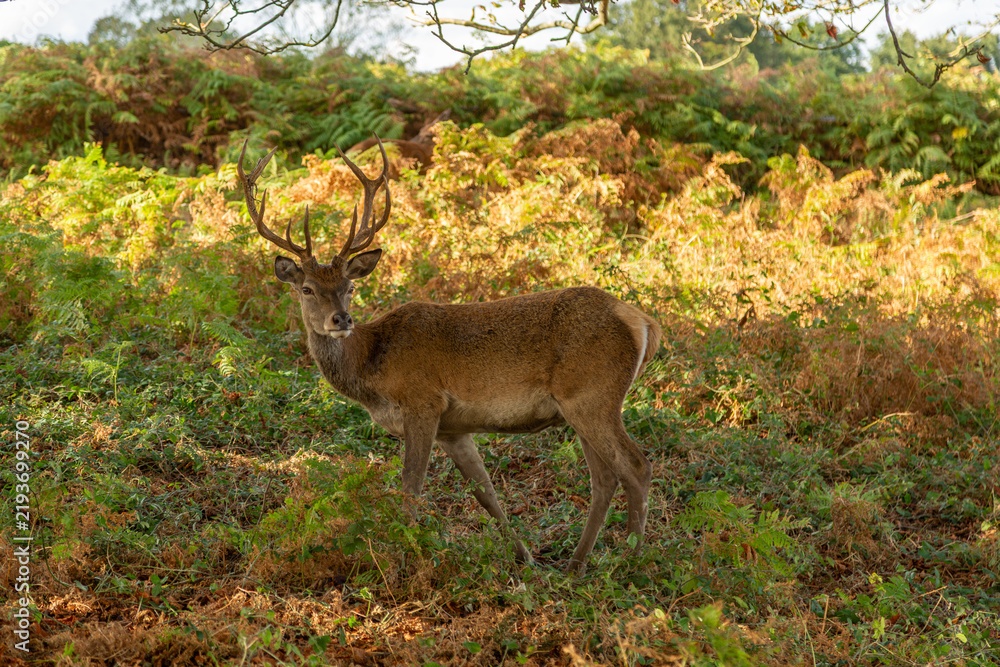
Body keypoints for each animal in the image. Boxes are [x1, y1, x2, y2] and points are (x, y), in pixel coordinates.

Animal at [237, 137, 661, 573]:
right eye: (307, 289)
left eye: (349, 287)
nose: (341, 318)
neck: (372, 367)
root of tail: (643, 322)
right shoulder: (454, 429)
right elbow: (485, 493)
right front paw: (524, 557)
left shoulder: (423, 400)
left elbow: (411, 488)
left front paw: (403, 557)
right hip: (579, 405)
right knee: (604, 479)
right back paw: (576, 565)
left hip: (593, 395)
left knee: (636, 467)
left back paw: (632, 559)